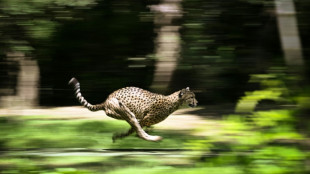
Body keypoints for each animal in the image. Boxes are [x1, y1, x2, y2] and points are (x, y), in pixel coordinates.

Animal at [68, 77, 197, 141]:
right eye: (191, 97)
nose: (197, 102)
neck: (174, 103)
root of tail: (106, 100)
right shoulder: (144, 119)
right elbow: (135, 129)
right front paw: (123, 135)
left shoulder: (145, 120)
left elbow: (138, 128)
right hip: (121, 109)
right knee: (128, 119)